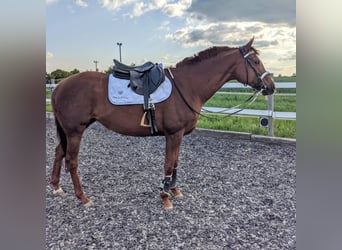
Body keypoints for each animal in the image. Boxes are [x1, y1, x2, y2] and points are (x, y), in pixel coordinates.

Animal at [50, 37, 276, 209]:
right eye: (256, 61)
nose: (271, 86)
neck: (187, 86)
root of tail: (60, 85)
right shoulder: (173, 134)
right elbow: (168, 163)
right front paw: (165, 197)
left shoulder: (178, 135)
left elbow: (175, 162)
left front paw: (174, 190)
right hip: (75, 131)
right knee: (71, 160)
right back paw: (83, 198)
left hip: (70, 131)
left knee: (59, 152)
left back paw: (56, 187)